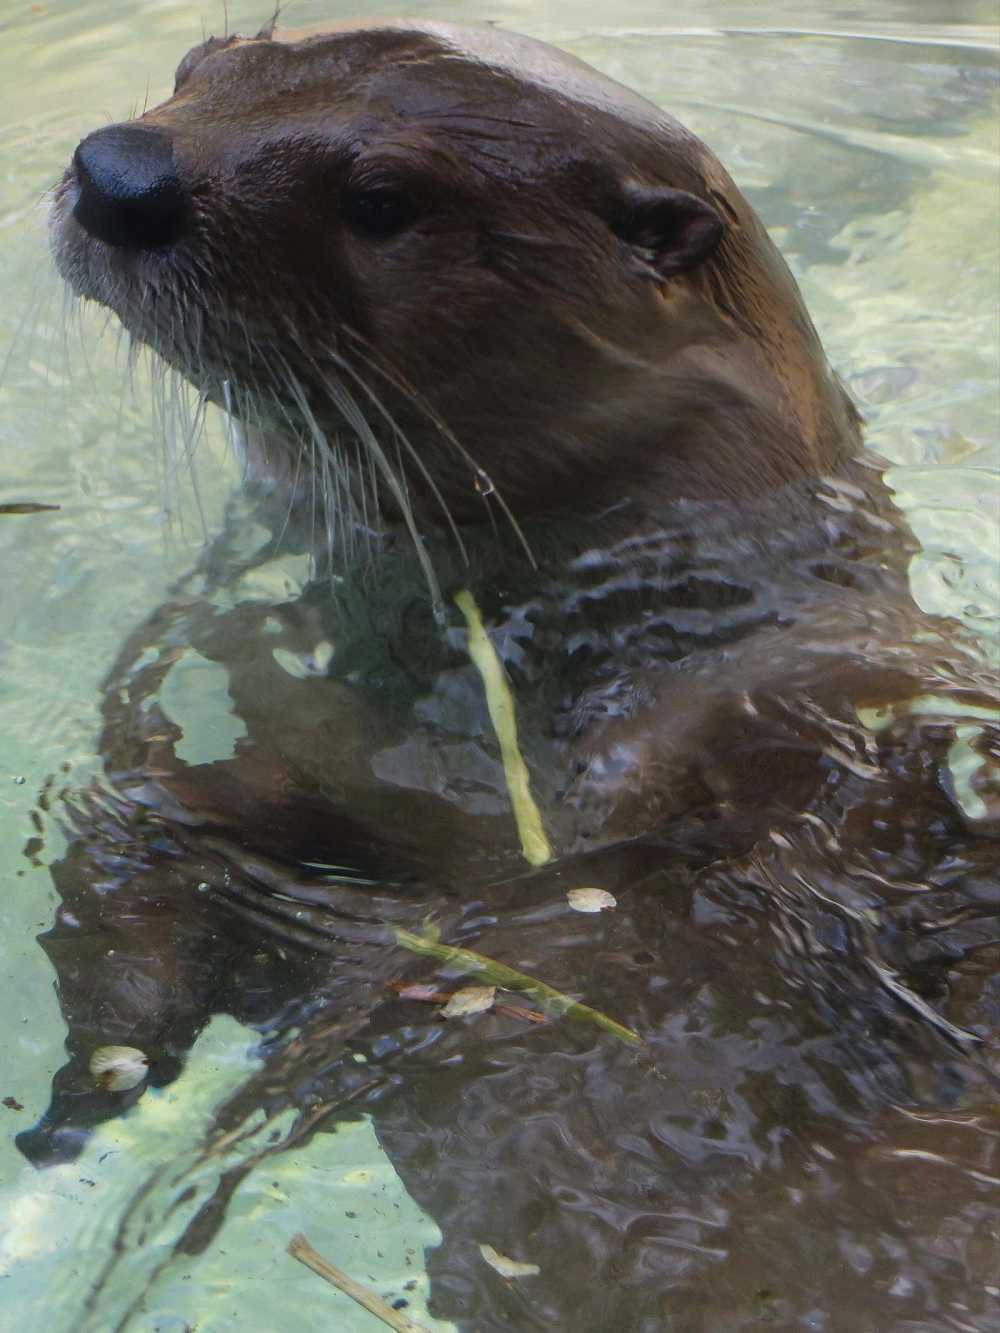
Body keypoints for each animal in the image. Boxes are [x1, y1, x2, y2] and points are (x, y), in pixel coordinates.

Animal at [24, 19, 998, 1332]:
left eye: (382, 198)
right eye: (195, 65)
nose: (121, 172)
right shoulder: (325, 740)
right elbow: (154, 824)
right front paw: (94, 1074)